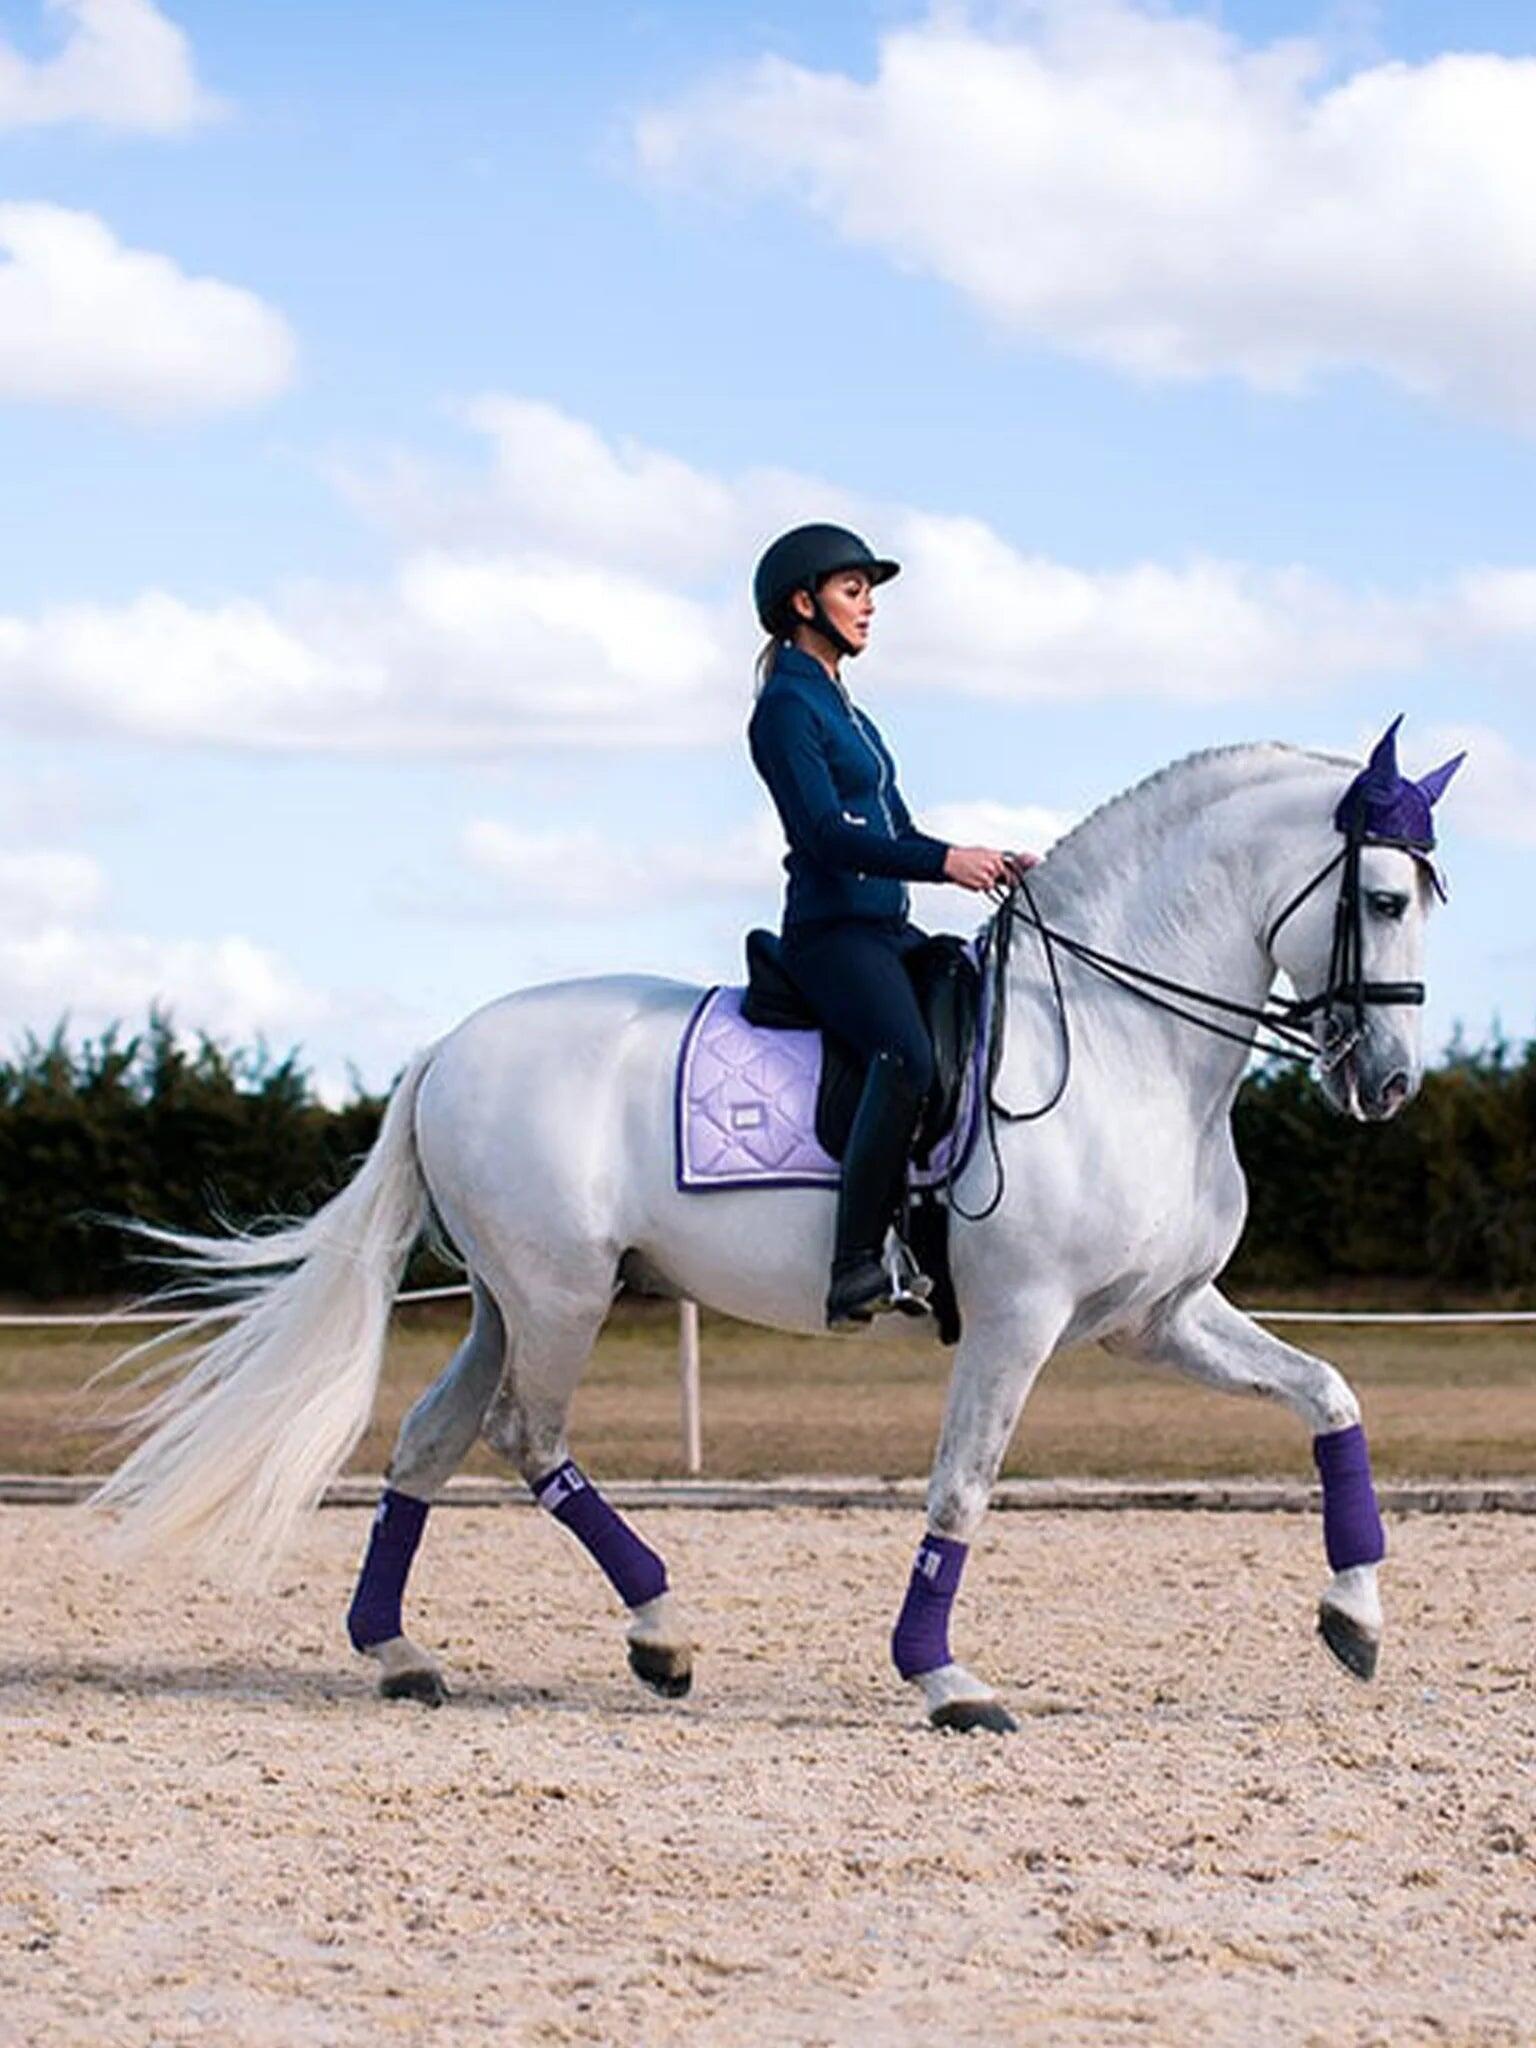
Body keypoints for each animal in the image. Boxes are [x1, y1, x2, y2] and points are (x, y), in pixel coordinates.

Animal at [91, 725, 1458, 1732]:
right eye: (1387, 896)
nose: (1390, 1082)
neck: (1124, 1039)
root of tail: (448, 1045)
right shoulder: (1016, 1320)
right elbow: (962, 1484)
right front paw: (944, 1677)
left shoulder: (1154, 1318)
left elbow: (1330, 1394)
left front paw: (1356, 1615)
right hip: (561, 1294)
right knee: (527, 1434)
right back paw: (659, 1630)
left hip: (503, 1298)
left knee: (433, 1437)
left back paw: (401, 1652)